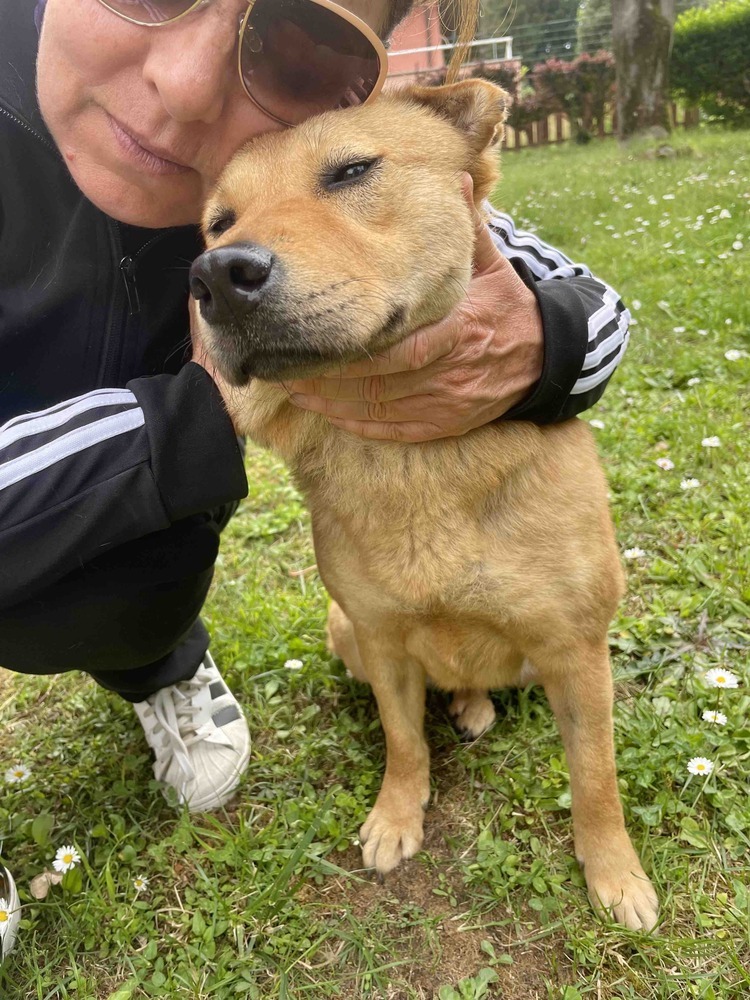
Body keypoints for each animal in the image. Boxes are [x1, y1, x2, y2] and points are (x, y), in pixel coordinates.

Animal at [191, 78, 660, 928]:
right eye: (219, 221)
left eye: (350, 171)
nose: (215, 275)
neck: (416, 466)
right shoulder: (378, 638)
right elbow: (403, 742)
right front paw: (396, 815)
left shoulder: (577, 652)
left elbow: (596, 778)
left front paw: (614, 873)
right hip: (343, 631)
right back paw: (466, 704)